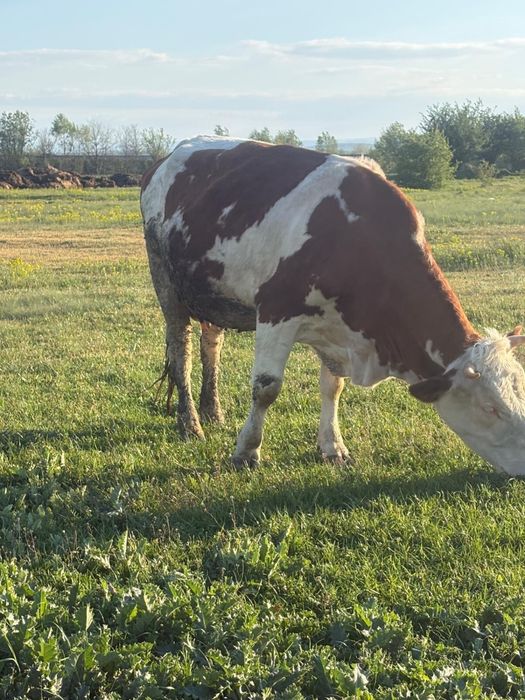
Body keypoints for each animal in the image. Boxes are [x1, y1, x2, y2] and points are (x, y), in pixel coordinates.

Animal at [140, 135, 525, 475]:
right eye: (491, 408)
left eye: (521, 391)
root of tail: (166, 158)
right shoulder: (276, 310)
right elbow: (266, 388)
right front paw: (246, 451)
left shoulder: (337, 331)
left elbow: (332, 387)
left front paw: (332, 446)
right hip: (166, 281)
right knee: (181, 351)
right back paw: (190, 423)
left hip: (211, 290)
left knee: (211, 345)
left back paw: (213, 411)